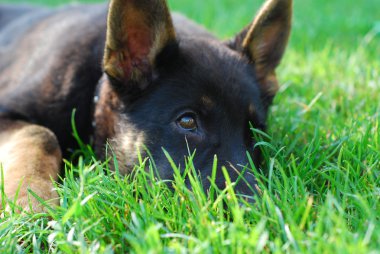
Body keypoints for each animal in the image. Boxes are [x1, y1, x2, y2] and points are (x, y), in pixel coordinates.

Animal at [0, 0, 292, 210]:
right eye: (187, 121)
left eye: (256, 130)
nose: (256, 214)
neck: (96, 88)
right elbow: (41, 135)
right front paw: (32, 205)